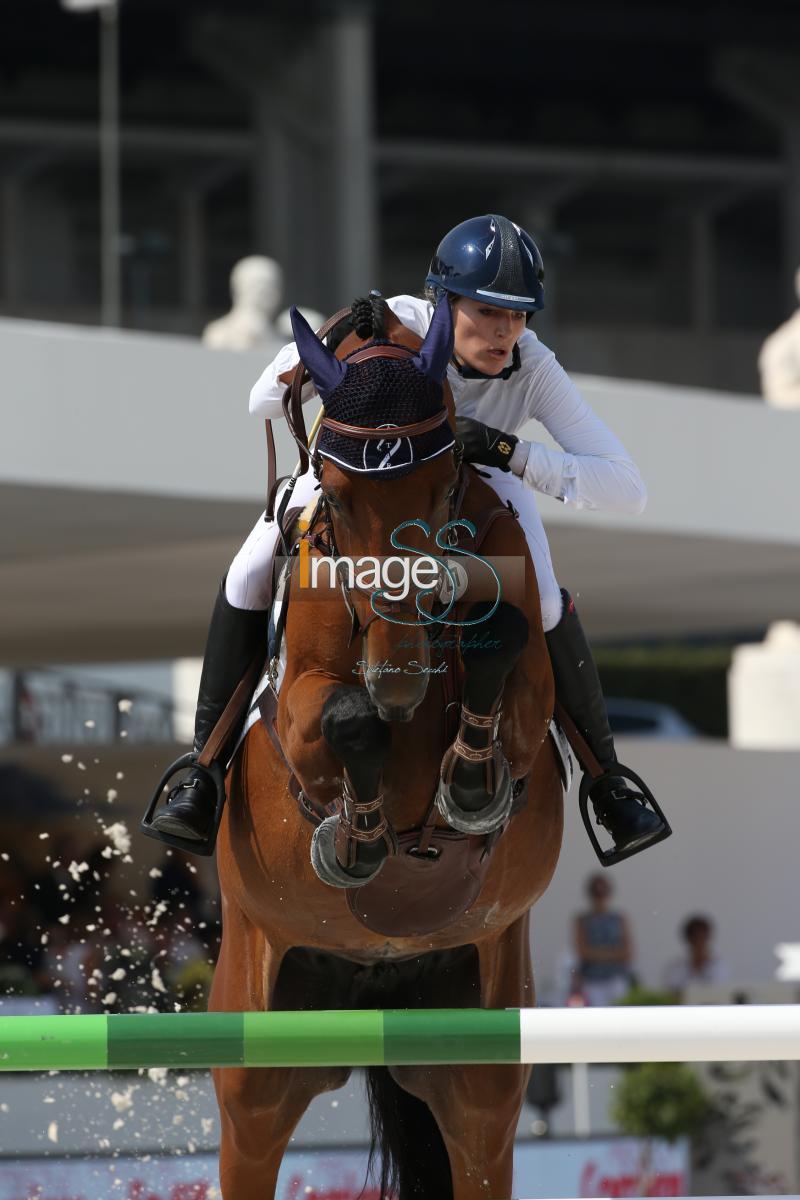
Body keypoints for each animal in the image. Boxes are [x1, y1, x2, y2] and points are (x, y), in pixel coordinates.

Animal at [209, 295, 566, 1195]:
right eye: (334, 497)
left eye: (443, 489)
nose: (396, 679)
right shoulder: (299, 718)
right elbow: (341, 724)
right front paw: (360, 838)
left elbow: (507, 649)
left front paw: (468, 783)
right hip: (255, 1050)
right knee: (251, 1127)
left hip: (476, 1061)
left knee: (480, 1127)